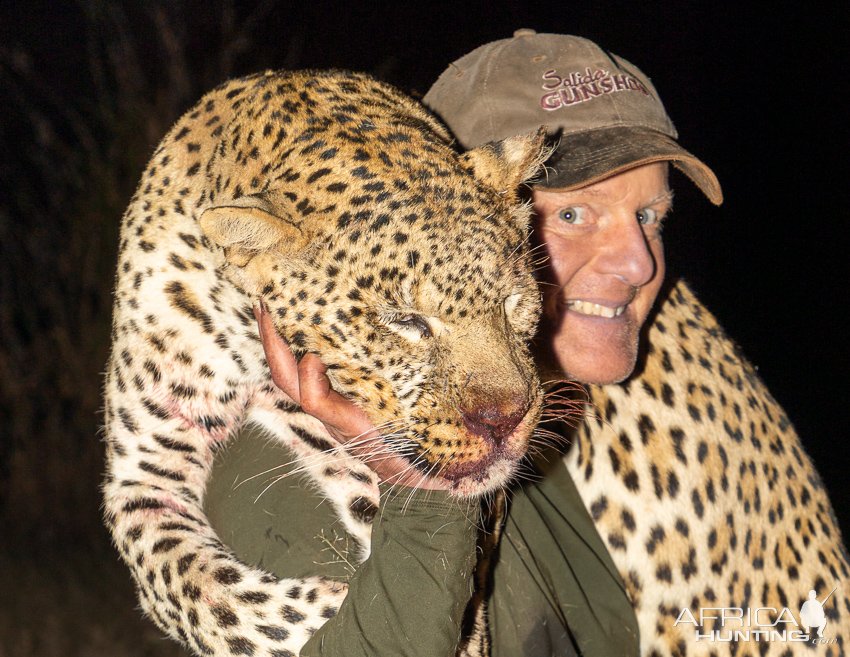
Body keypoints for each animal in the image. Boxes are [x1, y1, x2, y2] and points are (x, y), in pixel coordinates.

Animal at [101, 69, 548, 652]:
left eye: (512, 302)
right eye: (405, 321)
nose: (505, 420)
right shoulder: (144, 476)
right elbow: (202, 592)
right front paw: (330, 607)